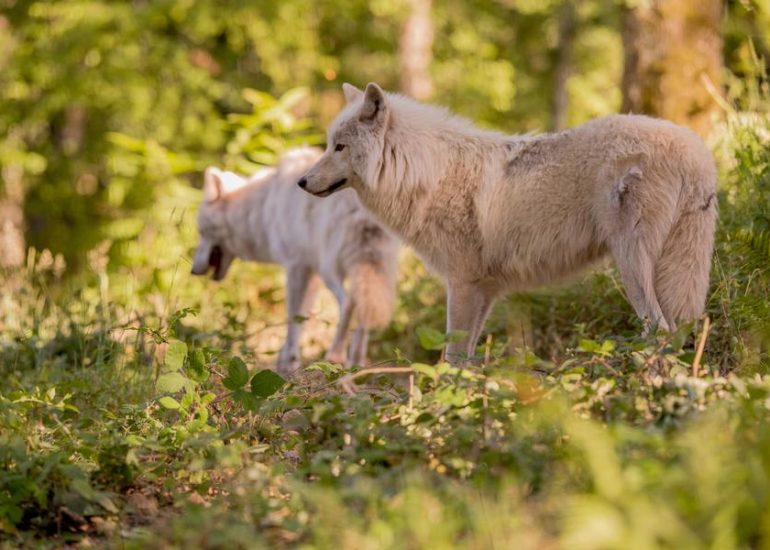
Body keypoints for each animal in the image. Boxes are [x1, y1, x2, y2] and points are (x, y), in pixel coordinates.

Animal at [192, 148, 400, 380]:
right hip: (372, 270)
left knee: (348, 303)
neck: (262, 208)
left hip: (330, 270)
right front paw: (286, 359)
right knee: (365, 310)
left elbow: (293, 318)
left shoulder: (296, 268)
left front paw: (288, 364)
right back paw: (357, 366)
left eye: (201, 232)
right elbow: (303, 318)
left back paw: (335, 356)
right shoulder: (310, 272)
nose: (193, 270)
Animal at [298, 83, 712, 362]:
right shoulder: (485, 290)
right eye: (329, 144)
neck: (424, 173)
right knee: (683, 327)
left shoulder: (461, 283)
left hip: (632, 265)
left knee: (660, 329)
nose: (301, 181)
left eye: (339, 147)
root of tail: (696, 151)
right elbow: (466, 358)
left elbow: (452, 357)